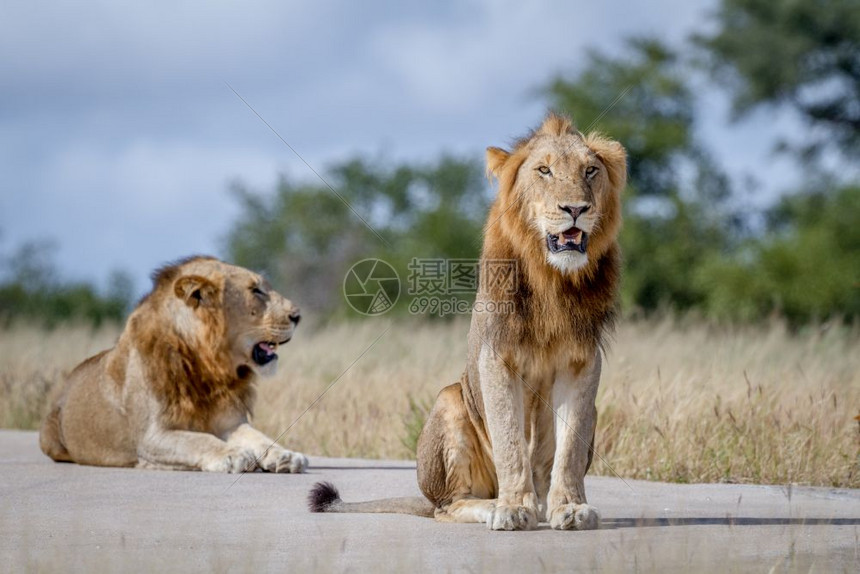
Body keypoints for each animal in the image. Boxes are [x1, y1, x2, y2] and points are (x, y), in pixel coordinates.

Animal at [41, 255, 310, 472]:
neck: (207, 365)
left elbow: (260, 438)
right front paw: (232, 455)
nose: (298, 316)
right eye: (256, 291)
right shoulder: (151, 436)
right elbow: (198, 440)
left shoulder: (231, 422)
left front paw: (286, 455)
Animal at [310, 115, 624, 532]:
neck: (552, 279)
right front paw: (512, 508)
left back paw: (541, 506)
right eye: (544, 170)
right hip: (449, 400)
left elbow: (568, 447)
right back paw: (493, 505)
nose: (576, 208)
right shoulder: (496, 357)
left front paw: (571, 508)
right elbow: (510, 440)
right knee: (450, 504)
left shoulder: (582, 361)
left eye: (590, 171)